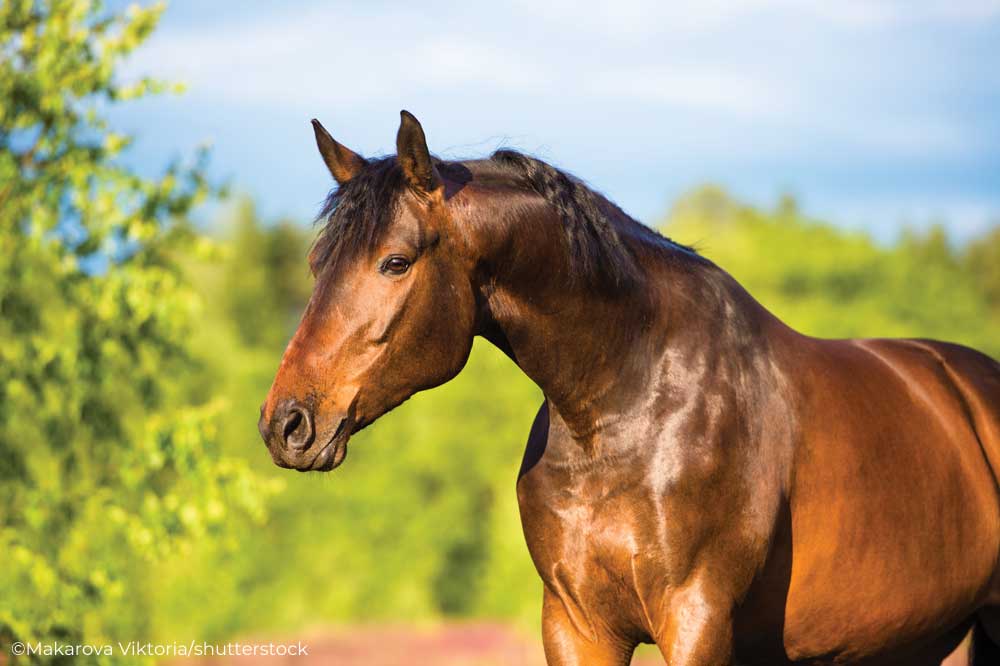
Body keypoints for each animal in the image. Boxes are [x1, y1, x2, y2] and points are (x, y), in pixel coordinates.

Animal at [262, 111, 1000, 660]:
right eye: (317, 261)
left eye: (395, 262)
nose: (286, 424)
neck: (626, 410)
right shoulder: (576, 625)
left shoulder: (696, 619)